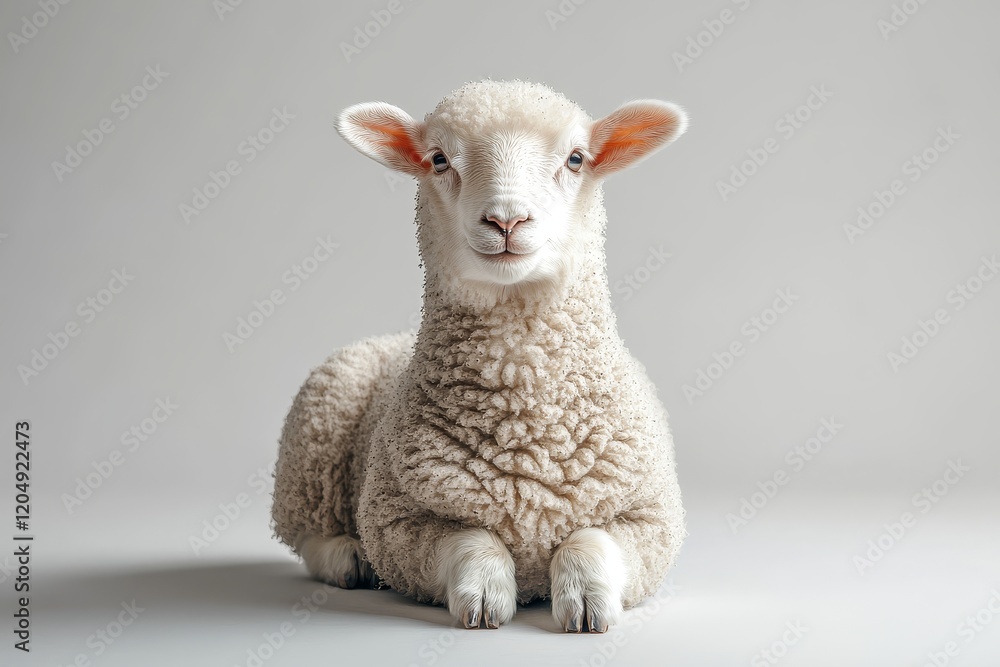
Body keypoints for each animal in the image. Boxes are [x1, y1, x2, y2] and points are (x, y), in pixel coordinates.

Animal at [271, 79, 687, 633]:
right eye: (439, 159)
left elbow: (590, 540)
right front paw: (485, 593)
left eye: (576, 159)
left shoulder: (653, 518)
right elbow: (469, 538)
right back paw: (348, 558)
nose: (506, 219)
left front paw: (587, 599)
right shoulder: (396, 518)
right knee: (308, 533)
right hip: (312, 449)